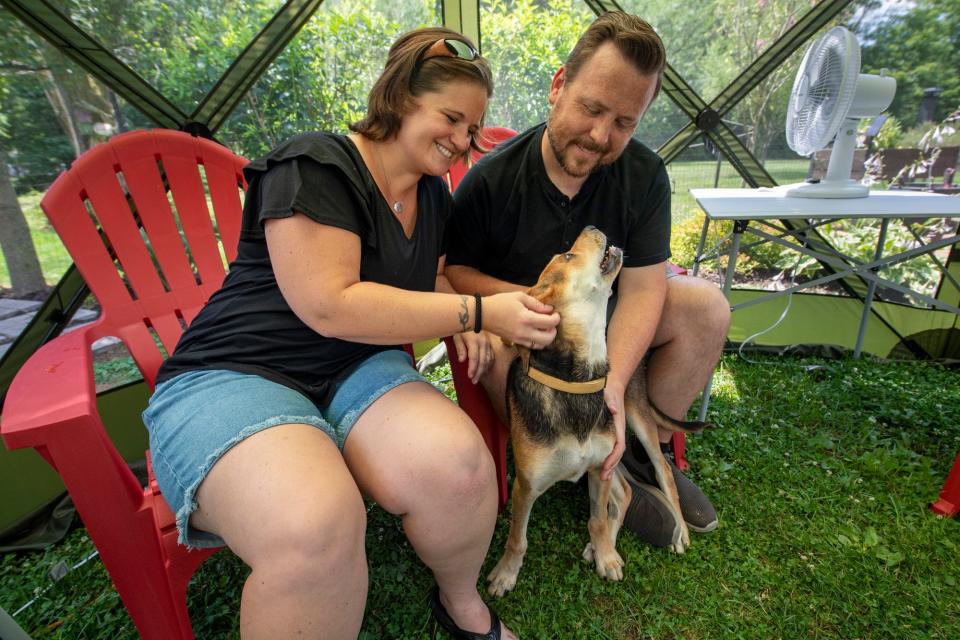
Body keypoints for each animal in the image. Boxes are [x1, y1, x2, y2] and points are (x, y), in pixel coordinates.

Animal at [488, 228, 704, 596]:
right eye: (567, 256)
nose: (592, 228)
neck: (577, 381)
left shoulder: (600, 466)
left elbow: (598, 518)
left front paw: (605, 556)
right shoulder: (526, 486)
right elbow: (517, 538)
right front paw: (505, 573)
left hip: (635, 422)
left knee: (662, 474)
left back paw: (679, 533)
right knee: (627, 491)